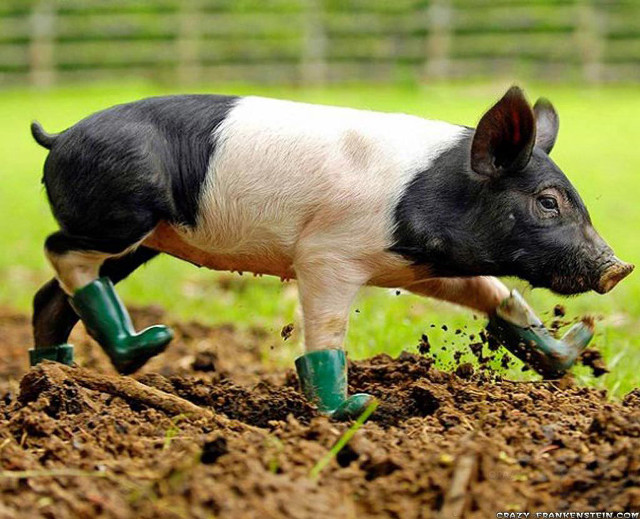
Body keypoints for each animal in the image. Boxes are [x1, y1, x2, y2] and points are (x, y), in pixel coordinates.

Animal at [30, 86, 633, 419]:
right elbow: (326, 337)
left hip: (142, 239)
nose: (619, 268)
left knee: (50, 296)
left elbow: (495, 293)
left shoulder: (420, 266)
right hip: (120, 214)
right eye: (548, 202)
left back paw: (65, 374)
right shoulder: (327, 256)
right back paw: (146, 347)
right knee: (59, 250)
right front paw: (356, 409)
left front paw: (574, 347)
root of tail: (59, 136)